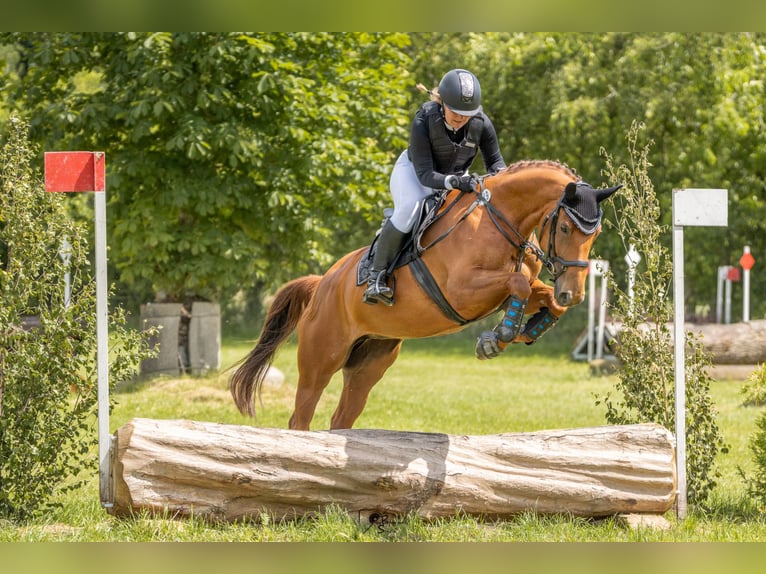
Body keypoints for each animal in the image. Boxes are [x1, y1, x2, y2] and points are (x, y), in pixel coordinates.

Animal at [231, 160, 620, 430]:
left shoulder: (517, 284)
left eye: (596, 232)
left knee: (342, 417)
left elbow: (538, 293)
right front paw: (498, 338)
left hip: (370, 362)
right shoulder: (462, 290)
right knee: (301, 417)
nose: (574, 293)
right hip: (320, 359)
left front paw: (522, 331)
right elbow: (519, 286)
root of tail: (322, 283)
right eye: (565, 227)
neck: (501, 220)